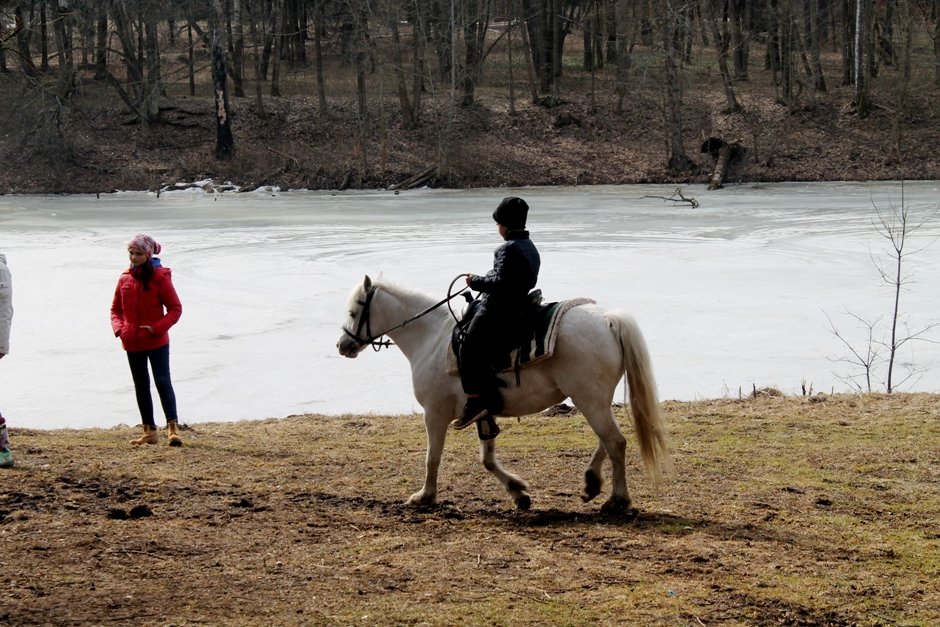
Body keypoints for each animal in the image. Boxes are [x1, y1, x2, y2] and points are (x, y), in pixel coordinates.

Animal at [336, 278, 668, 512]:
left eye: (354, 311)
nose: (342, 345)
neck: (430, 338)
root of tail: (609, 320)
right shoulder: (483, 412)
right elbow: (488, 459)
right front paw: (518, 492)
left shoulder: (435, 414)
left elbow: (433, 457)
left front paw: (424, 497)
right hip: (594, 400)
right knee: (608, 440)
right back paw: (591, 484)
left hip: (589, 400)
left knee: (615, 442)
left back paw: (617, 500)